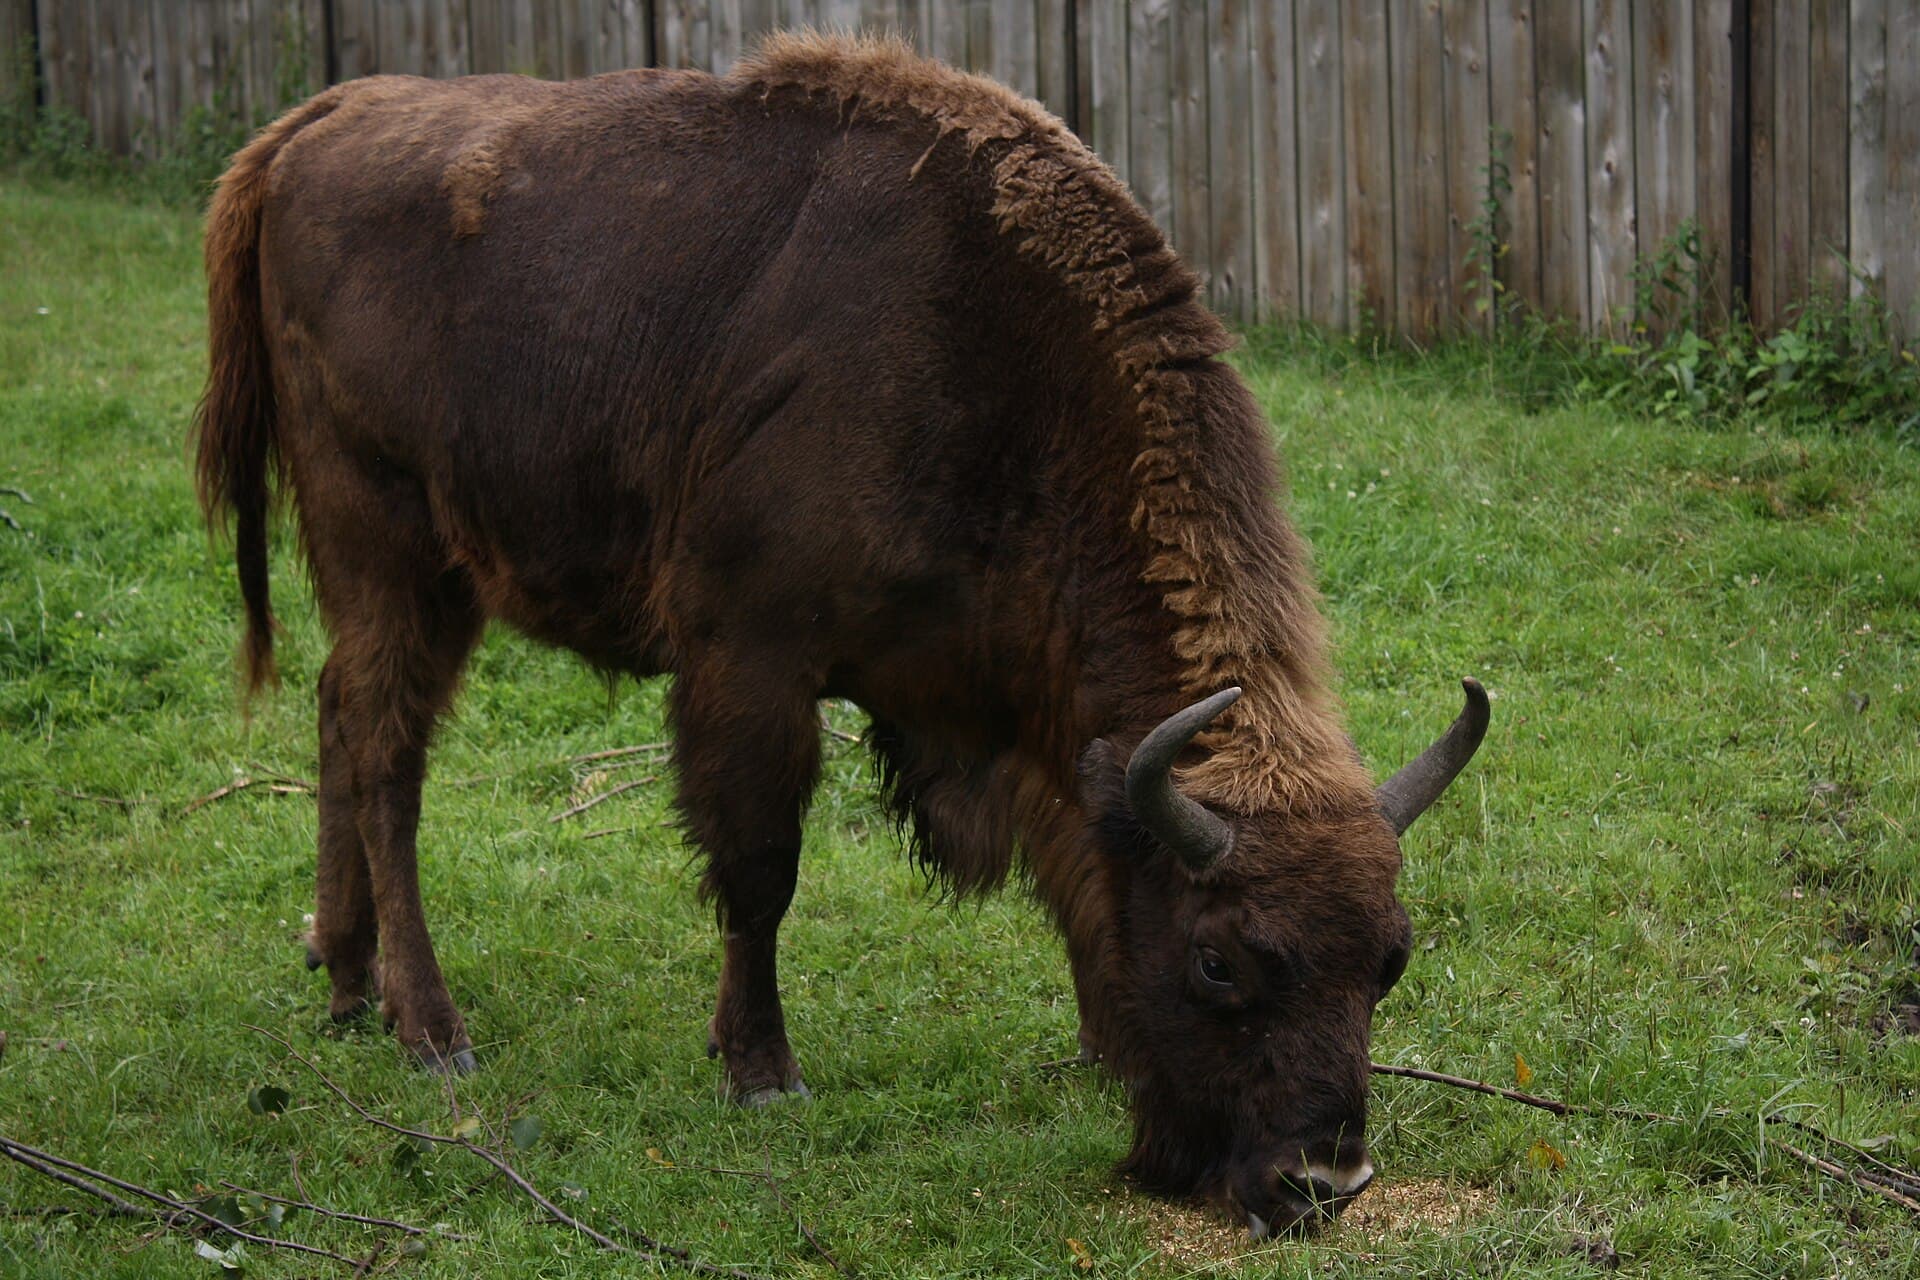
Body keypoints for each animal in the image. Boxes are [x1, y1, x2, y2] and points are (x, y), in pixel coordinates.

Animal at [194, 34, 1486, 1235]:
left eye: (1391, 954)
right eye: (1222, 957)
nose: (1321, 1180)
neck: (989, 356)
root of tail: (313, 125)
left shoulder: (1015, 716)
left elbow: (1067, 868)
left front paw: (1089, 1045)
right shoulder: (753, 661)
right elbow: (760, 868)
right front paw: (762, 1071)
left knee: (337, 716)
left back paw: (343, 979)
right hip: (391, 549)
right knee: (384, 753)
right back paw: (430, 1028)